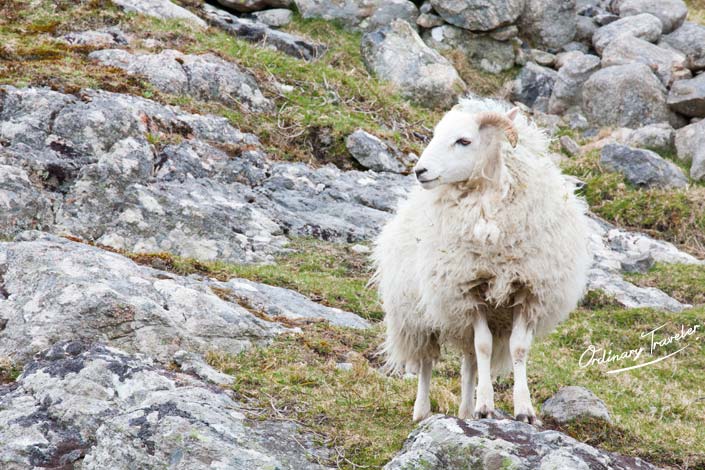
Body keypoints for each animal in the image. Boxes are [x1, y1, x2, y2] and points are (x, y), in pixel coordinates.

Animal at [372, 97, 592, 424]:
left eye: (464, 141)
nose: (420, 171)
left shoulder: (527, 292)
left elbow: (517, 349)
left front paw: (523, 410)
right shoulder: (469, 291)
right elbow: (484, 345)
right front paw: (486, 405)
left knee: (469, 363)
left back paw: (465, 411)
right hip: (419, 315)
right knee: (427, 361)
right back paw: (423, 411)